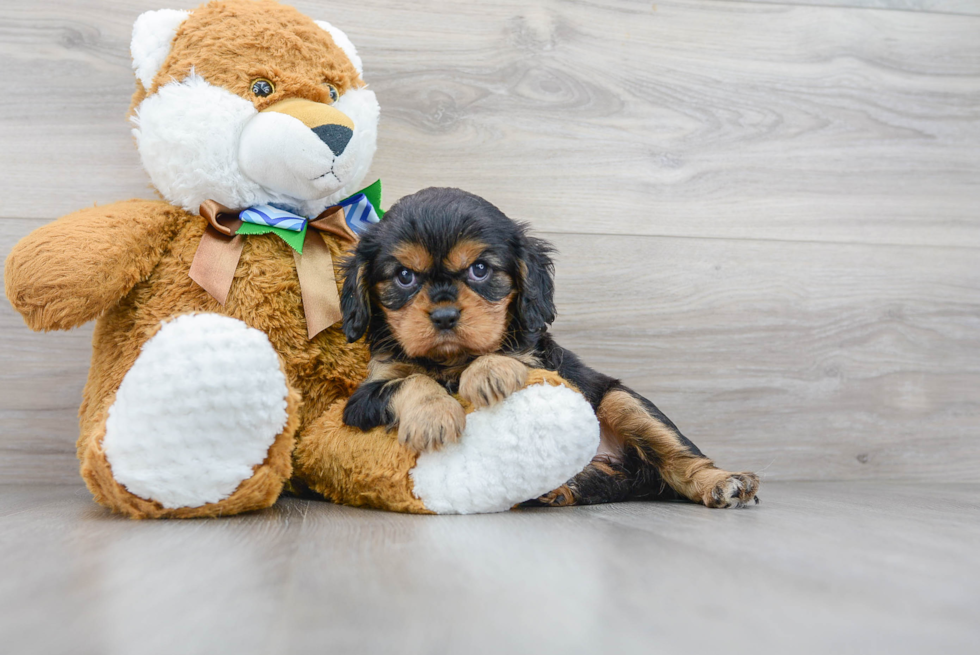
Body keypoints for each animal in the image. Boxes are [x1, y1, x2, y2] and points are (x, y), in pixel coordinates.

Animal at [340, 187, 760, 510]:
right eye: (404, 277)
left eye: (480, 270)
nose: (444, 315)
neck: (451, 361)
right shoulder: (362, 399)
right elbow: (410, 382)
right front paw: (434, 416)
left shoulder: (543, 362)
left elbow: (506, 356)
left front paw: (487, 372)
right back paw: (561, 489)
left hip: (620, 402)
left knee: (677, 460)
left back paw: (723, 482)